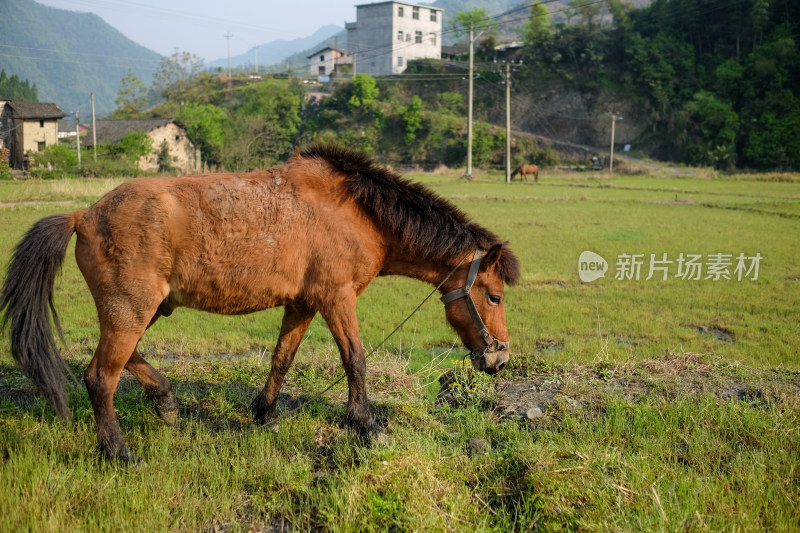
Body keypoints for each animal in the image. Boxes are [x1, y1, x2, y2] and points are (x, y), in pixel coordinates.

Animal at [0, 143, 520, 460]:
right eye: (494, 296)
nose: (498, 359)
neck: (356, 213)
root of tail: (84, 214)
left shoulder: (304, 303)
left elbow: (281, 358)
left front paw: (265, 412)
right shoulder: (336, 298)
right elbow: (354, 359)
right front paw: (366, 424)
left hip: (140, 311)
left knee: (120, 360)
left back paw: (164, 399)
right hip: (130, 312)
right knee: (100, 377)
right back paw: (118, 451)